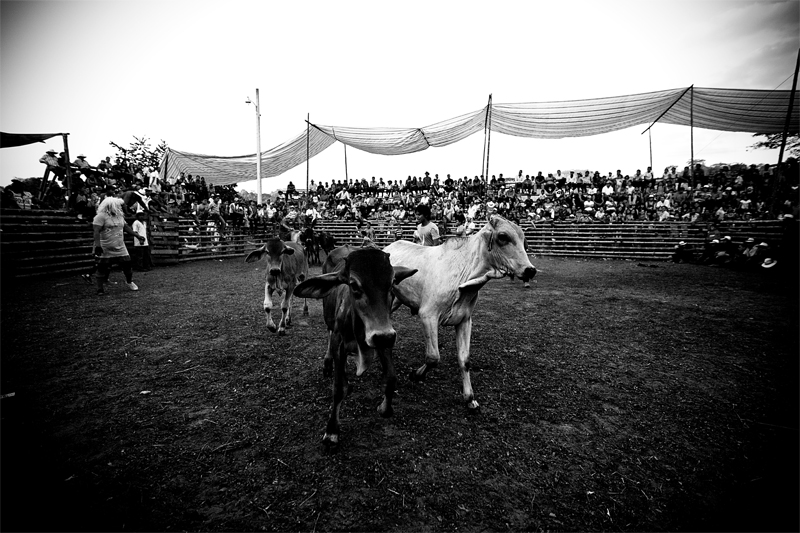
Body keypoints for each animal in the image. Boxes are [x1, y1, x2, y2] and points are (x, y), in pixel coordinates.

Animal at [384, 214, 536, 410]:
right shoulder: (428, 315)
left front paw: (470, 398)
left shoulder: (465, 320)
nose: (530, 270)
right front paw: (416, 374)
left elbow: (465, 360)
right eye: (503, 236)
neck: (464, 279)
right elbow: (433, 357)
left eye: (524, 239)